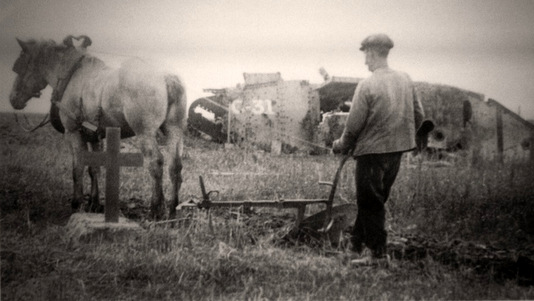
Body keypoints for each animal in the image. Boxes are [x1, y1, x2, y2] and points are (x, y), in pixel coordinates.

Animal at [8, 35, 189, 218]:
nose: (12, 99)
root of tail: (167, 77)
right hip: (174, 130)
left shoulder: (73, 132)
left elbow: (77, 168)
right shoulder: (93, 136)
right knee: (175, 166)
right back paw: (172, 210)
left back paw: (155, 210)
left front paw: (77, 203)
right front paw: (93, 203)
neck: (71, 75)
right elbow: (94, 168)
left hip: (145, 132)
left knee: (156, 162)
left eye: (19, 67)